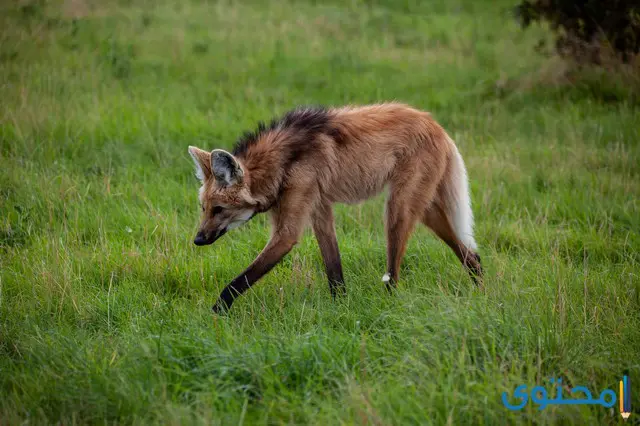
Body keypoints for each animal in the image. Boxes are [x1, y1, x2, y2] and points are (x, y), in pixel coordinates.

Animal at [188, 103, 482, 312]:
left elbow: (240, 281)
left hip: (398, 209)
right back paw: (481, 290)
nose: (197, 240)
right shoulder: (319, 209)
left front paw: (215, 314)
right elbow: (334, 269)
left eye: (219, 209)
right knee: (471, 254)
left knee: (395, 272)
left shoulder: (288, 231)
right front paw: (341, 307)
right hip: (426, 209)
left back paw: (390, 305)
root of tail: (435, 125)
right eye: (203, 208)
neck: (282, 164)